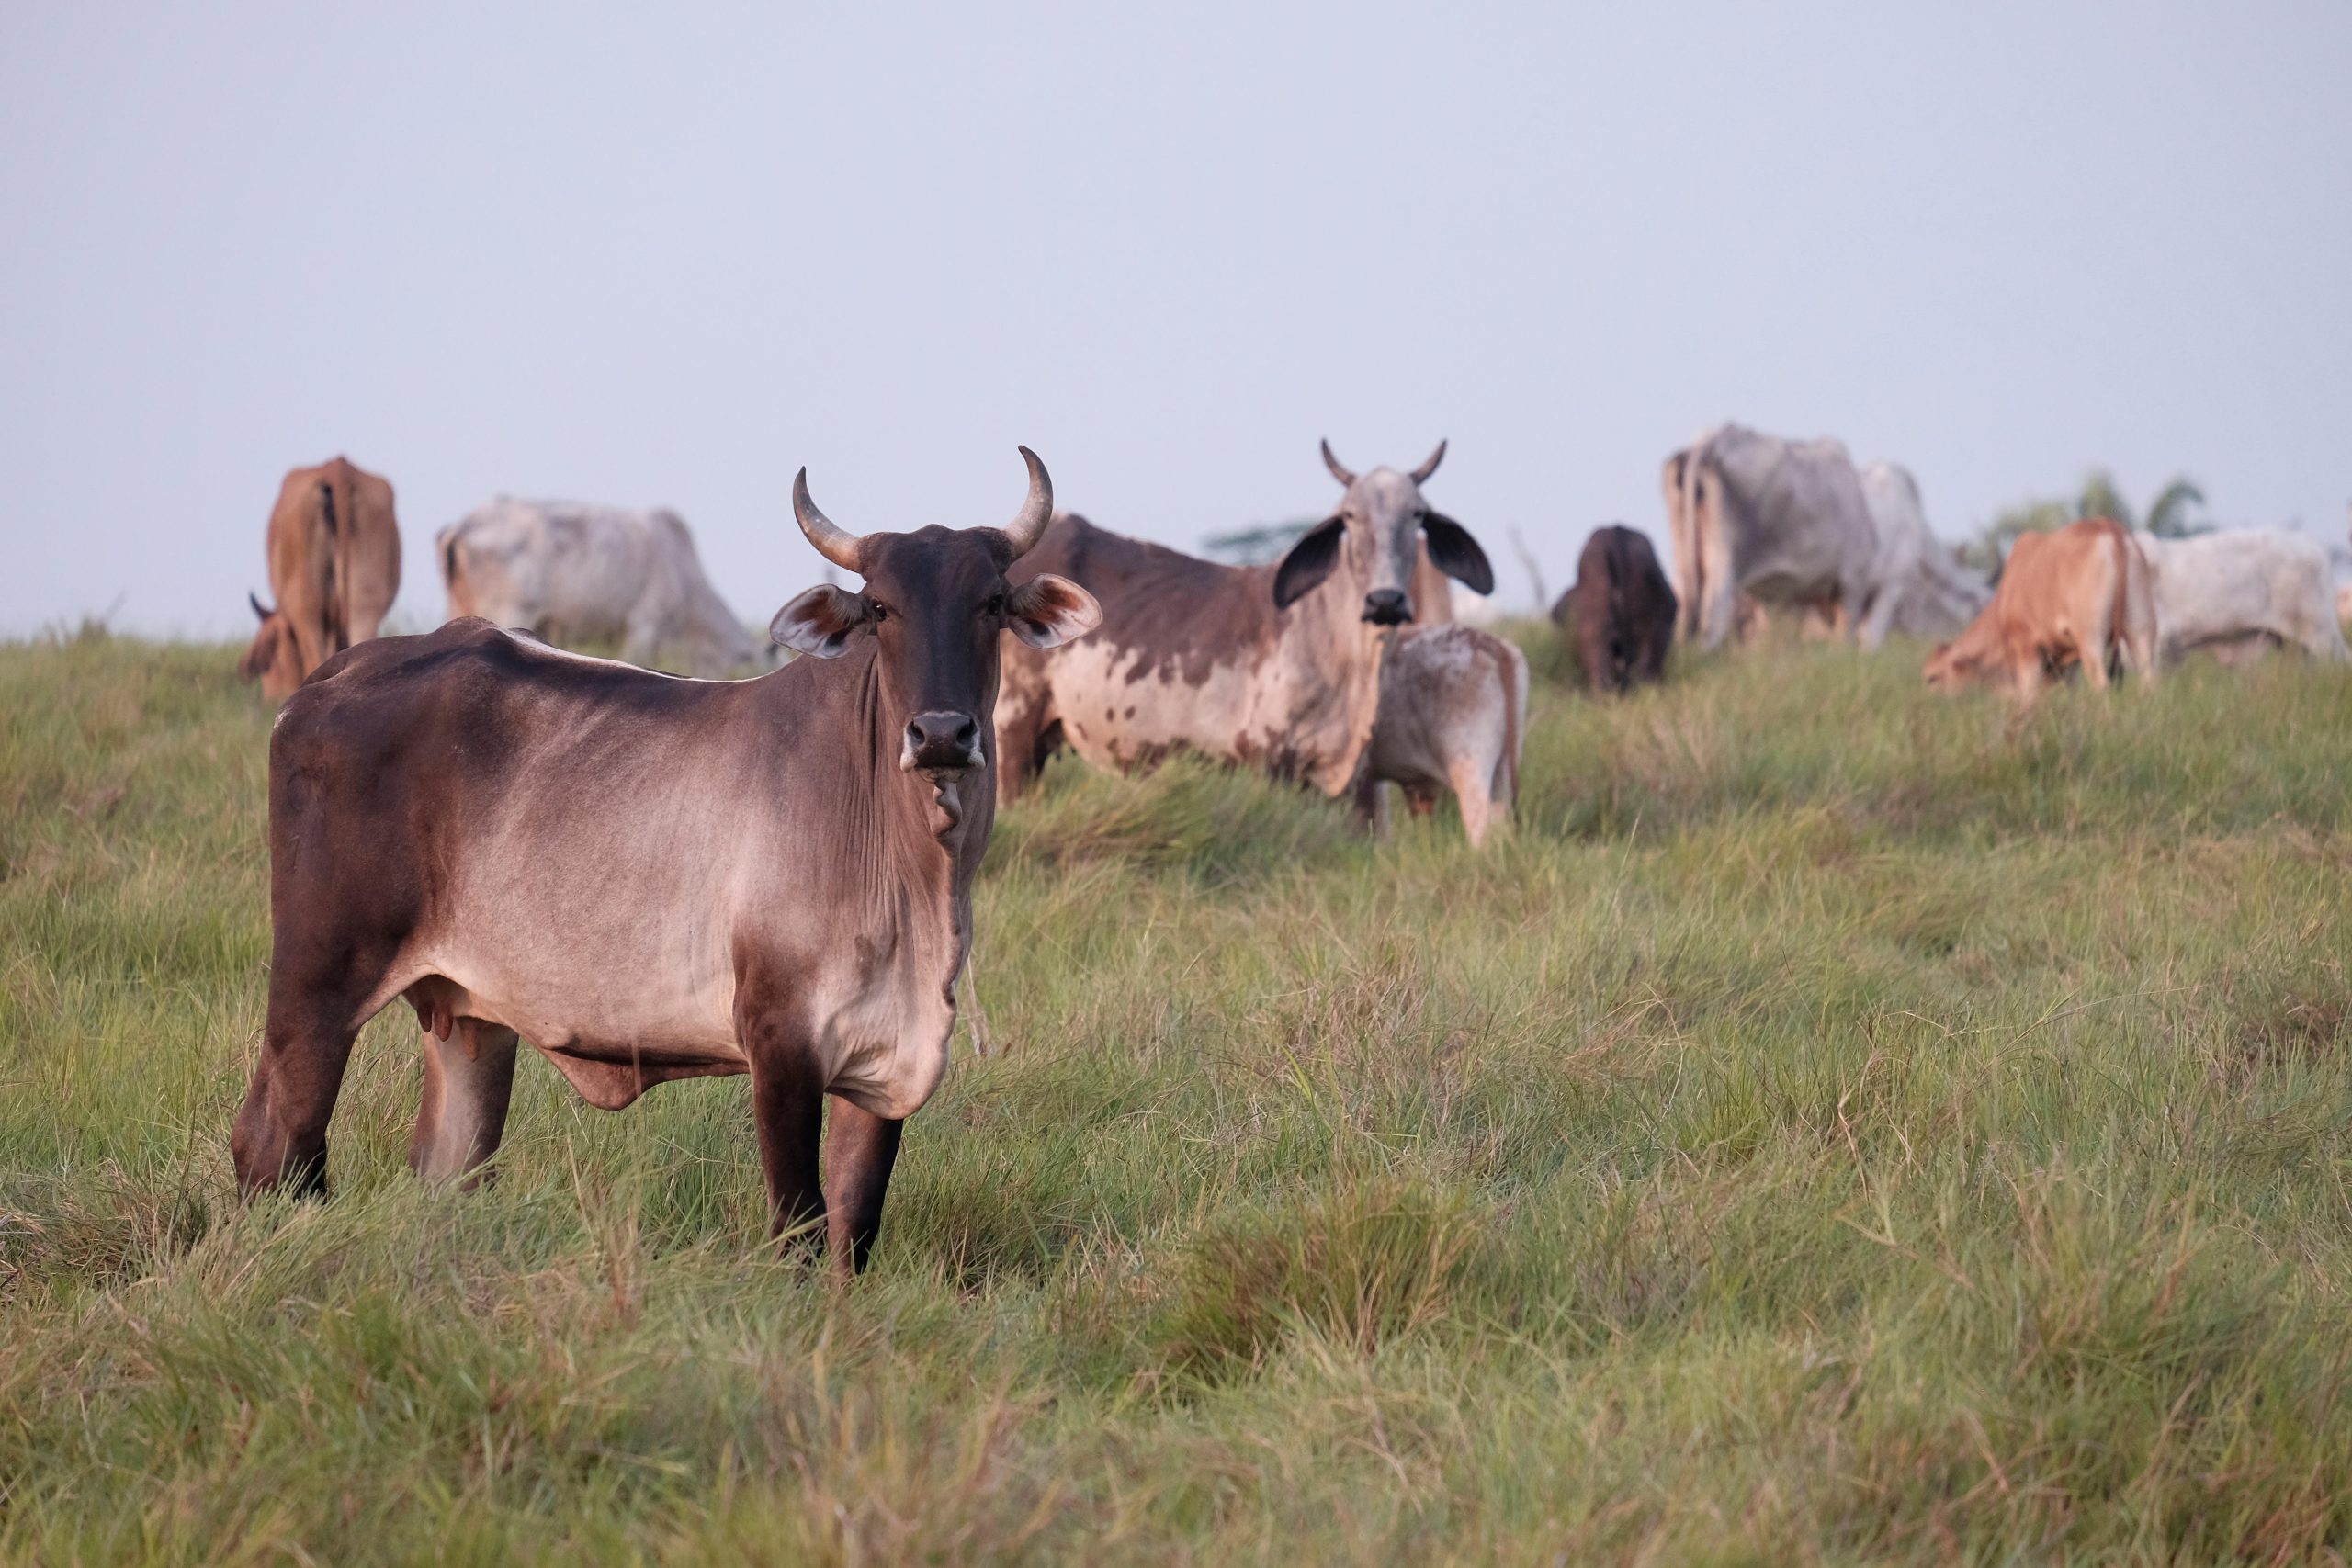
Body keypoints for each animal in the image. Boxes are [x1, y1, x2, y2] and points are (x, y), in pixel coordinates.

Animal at [1924, 519, 2157, 701]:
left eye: (1932, 677)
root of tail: (2109, 528)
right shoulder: (2069, 662)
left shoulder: (2027, 649)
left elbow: (2029, 697)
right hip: (2140, 634)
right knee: (2148, 681)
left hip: (2091, 641)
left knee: (2101, 685)